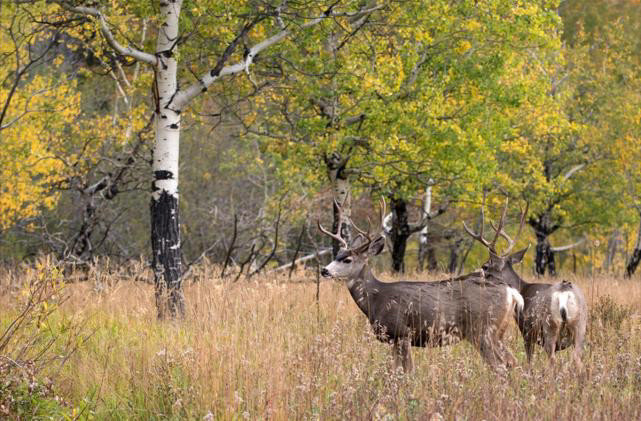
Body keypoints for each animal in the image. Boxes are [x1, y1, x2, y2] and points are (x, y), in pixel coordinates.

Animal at [318, 199, 524, 372]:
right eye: (337, 255)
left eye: (347, 260)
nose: (324, 270)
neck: (377, 299)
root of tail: (510, 292)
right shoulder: (394, 338)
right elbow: (395, 371)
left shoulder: (402, 332)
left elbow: (407, 371)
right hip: (497, 332)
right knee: (512, 361)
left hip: (482, 329)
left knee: (499, 367)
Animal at [462, 194, 588, 368]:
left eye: (485, 266)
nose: (471, 276)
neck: (522, 290)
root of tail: (565, 294)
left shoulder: (527, 331)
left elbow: (529, 362)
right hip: (580, 326)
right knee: (579, 361)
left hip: (549, 327)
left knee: (552, 361)